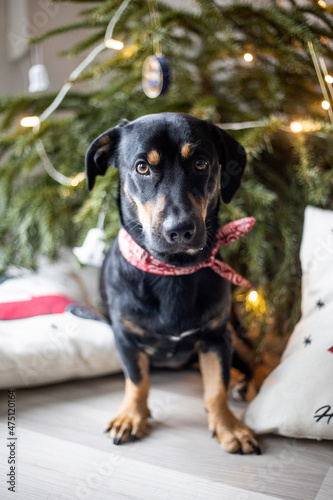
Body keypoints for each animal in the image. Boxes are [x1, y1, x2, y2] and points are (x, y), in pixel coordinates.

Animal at [85, 112, 260, 454]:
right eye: (142, 167)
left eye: (201, 163)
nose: (179, 229)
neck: (172, 271)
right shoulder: (126, 337)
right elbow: (137, 381)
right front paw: (131, 417)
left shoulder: (216, 336)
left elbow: (215, 388)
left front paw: (229, 427)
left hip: (233, 331)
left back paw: (243, 382)